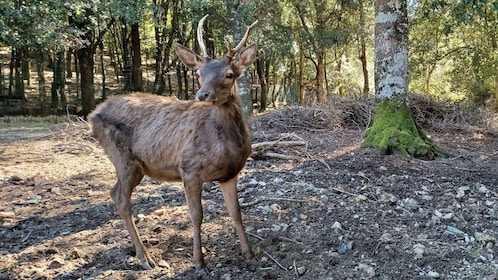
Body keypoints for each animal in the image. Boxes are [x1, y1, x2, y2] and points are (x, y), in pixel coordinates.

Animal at [89, 14, 258, 272]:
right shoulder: (189, 168)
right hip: (123, 158)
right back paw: (145, 257)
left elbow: (236, 212)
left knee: (114, 192)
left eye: (229, 74)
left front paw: (249, 253)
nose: (202, 94)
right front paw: (198, 260)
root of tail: (92, 114)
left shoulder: (230, 173)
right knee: (120, 198)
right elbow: (196, 215)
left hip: (136, 166)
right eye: (198, 74)